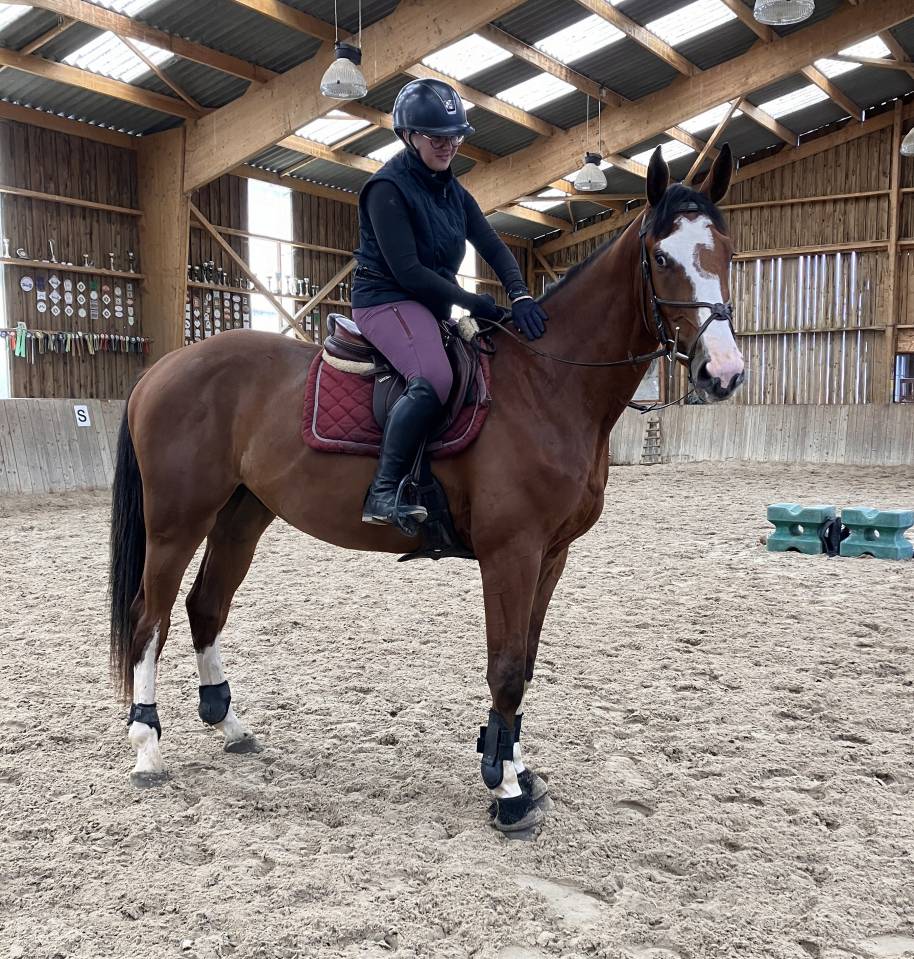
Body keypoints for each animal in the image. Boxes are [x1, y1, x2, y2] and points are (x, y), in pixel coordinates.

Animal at [109, 145, 745, 832]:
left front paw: (511, 765)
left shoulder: (551, 555)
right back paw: (147, 749)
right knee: (150, 618)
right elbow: (506, 668)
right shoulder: (510, 553)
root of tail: (163, 368)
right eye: (662, 258)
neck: (546, 384)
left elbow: (525, 661)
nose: (724, 372)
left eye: (726, 251)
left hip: (241, 516)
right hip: (177, 521)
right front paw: (508, 792)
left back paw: (230, 725)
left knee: (205, 606)